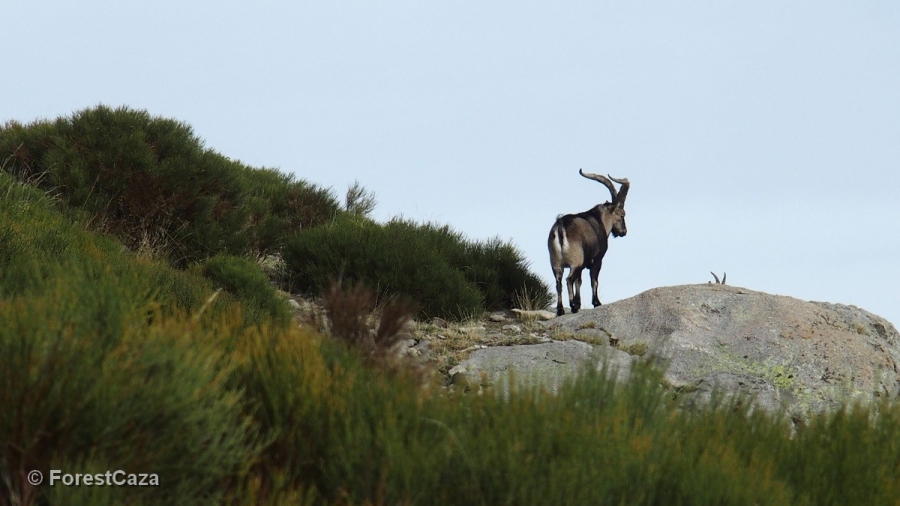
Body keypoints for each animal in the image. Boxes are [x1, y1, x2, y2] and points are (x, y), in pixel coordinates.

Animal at [544, 170, 628, 316]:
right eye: (622, 214)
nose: (624, 231)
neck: (600, 221)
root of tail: (560, 227)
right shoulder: (597, 260)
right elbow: (594, 281)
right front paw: (596, 303)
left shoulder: (582, 265)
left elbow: (579, 281)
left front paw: (579, 302)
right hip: (575, 261)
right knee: (568, 280)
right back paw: (572, 306)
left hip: (556, 264)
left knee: (559, 282)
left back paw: (560, 310)